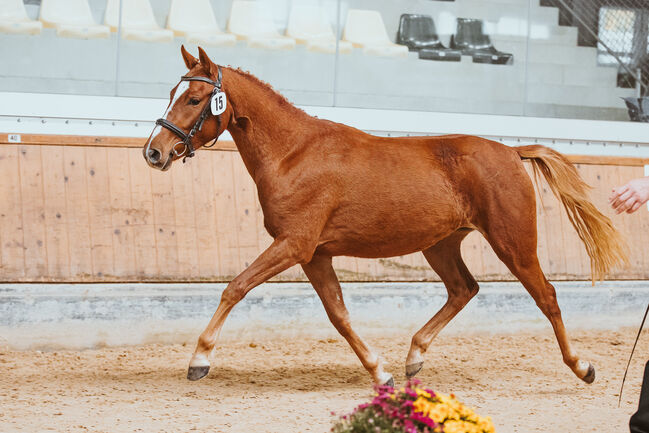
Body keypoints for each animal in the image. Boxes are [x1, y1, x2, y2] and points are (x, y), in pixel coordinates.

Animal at [144, 46, 624, 384]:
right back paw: (414, 358)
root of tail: (511, 151)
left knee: (547, 296)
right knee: (464, 289)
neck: (293, 153)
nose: (154, 152)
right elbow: (339, 316)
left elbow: (235, 287)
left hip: (514, 243)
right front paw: (381, 372)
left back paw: (582, 367)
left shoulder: (293, 245)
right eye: (171, 94)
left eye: (193, 98)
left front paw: (199, 360)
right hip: (441, 245)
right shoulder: (314, 254)